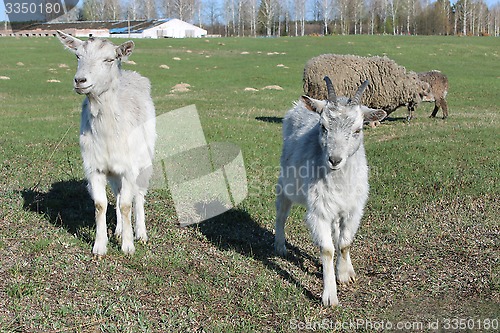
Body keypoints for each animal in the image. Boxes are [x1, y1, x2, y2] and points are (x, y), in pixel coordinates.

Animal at [56, 30, 156, 254]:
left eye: (109, 59)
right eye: (77, 56)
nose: (80, 80)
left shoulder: (129, 167)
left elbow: (127, 205)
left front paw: (128, 246)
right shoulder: (95, 166)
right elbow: (101, 205)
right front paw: (100, 246)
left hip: (145, 160)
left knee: (138, 195)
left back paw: (141, 233)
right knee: (118, 195)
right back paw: (118, 230)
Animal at [274, 76, 386, 304]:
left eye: (358, 130)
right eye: (323, 126)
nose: (334, 160)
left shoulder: (353, 209)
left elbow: (344, 243)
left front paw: (343, 274)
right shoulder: (319, 211)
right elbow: (327, 250)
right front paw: (330, 296)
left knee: (337, 233)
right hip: (286, 184)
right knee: (281, 213)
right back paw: (280, 245)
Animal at [302, 53, 432, 121]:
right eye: (423, 93)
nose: (411, 117)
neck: (400, 82)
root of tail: (308, 69)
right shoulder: (378, 99)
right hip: (319, 93)